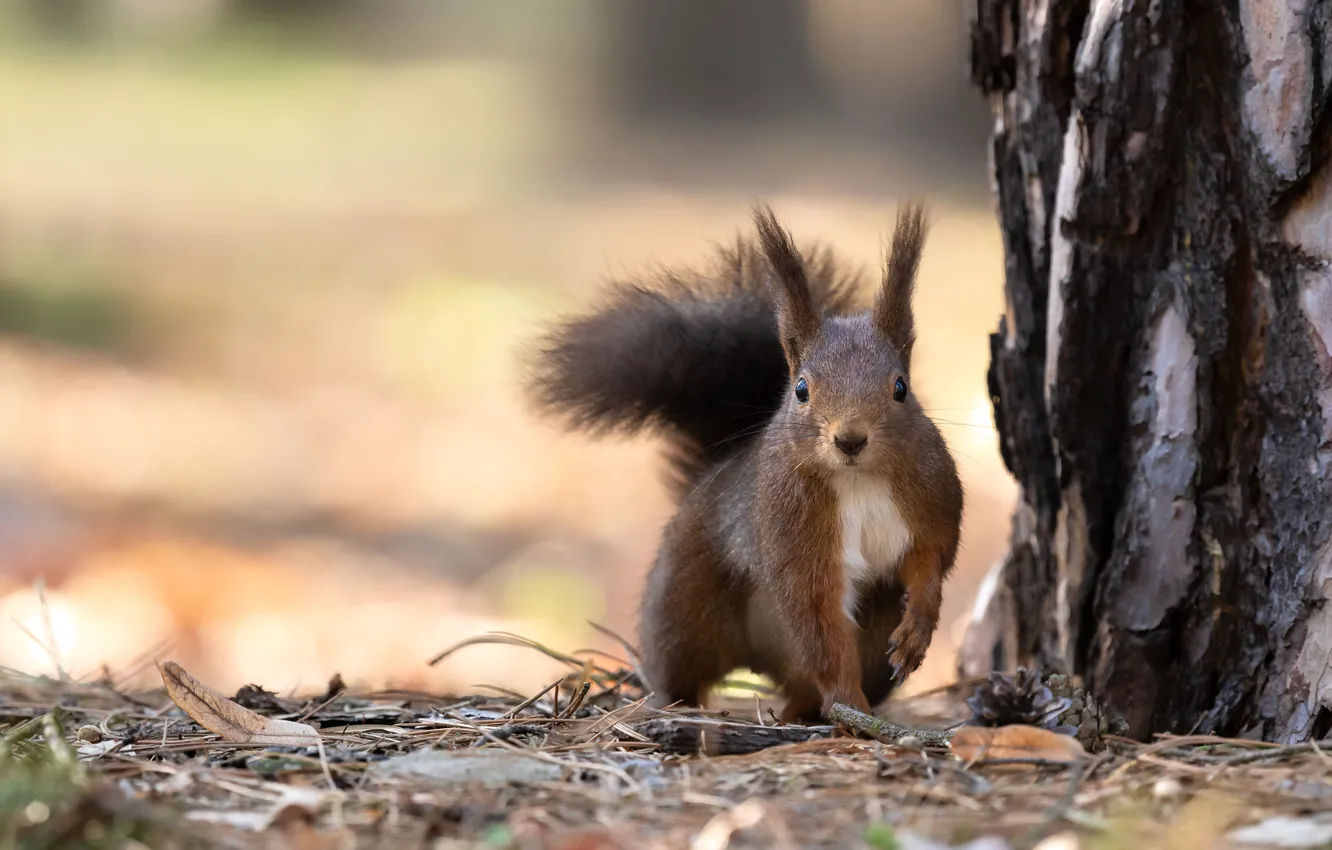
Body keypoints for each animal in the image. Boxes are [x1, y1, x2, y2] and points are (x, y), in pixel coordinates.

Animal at [526, 202, 964, 723]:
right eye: (801, 389)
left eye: (900, 387)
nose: (851, 440)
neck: (857, 480)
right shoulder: (792, 530)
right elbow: (819, 619)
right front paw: (848, 703)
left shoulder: (931, 497)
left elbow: (930, 560)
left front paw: (917, 629)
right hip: (682, 604)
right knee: (683, 665)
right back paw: (679, 706)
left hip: (872, 640)